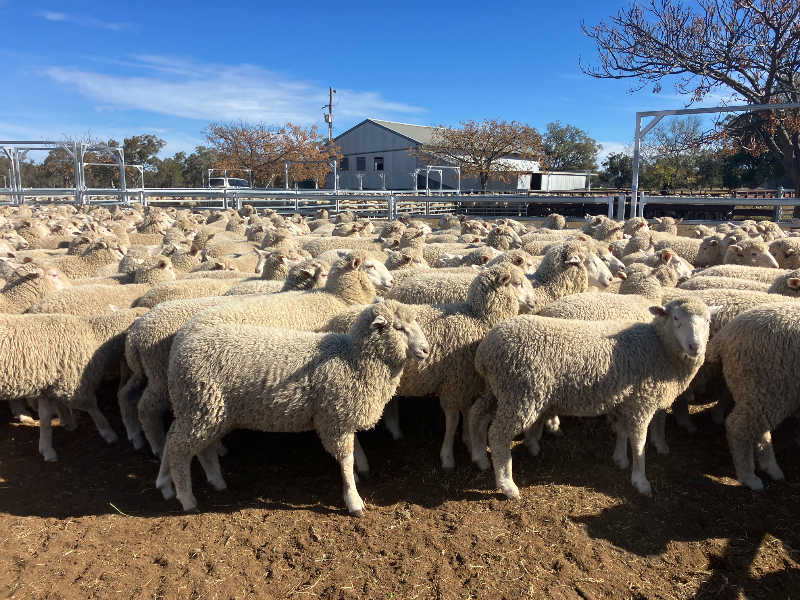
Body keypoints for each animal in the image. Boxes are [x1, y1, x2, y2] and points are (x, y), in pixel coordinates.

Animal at [1, 307, 148, 461]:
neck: (94, 335)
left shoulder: (45, 385)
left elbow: (45, 416)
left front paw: (47, 448)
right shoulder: (74, 383)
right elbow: (91, 407)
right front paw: (109, 433)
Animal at [156, 301, 429, 515]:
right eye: (398, 327)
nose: (426, 350)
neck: (352, 358)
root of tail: (180, 351)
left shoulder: (340, 414)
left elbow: (353, 450)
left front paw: (359, 472)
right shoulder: (334, 419)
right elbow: (345, 460)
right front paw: (354, 501)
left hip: (205, 410)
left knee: (190, 444)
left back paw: (210, 481)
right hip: (201, 406)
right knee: (178, 447)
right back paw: (187, 499)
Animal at [470, 297, 720, 498]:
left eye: (708, 321)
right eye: (676, 318)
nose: (695, 347)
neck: (660, 346)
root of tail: (485, 351)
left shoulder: (626, 400)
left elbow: (623, 431)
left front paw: (620, 459)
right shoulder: (642, 402)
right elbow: (638, 442)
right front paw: (641, 481)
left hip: (499, 390)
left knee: (478, 415)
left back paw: (480, 457)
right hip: (521, 394)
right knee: (498, 434)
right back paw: (507, 485)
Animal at [706, 302, 800, 491]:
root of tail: (727, 333)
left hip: (761, 393)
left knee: (759, 431)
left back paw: (771, 468)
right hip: (770, 387)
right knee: (738, 427)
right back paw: (749, 476)